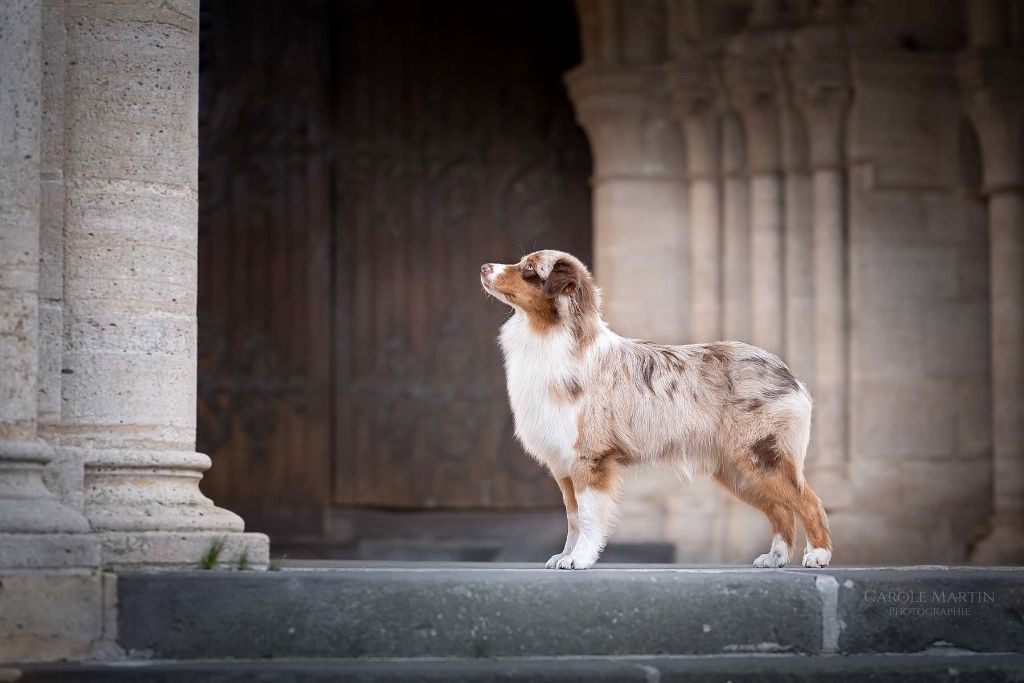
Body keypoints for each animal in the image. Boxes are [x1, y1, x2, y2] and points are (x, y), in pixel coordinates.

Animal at [481, 248, 831, 569]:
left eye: (529, 268)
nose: (484, 266)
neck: (550, 337)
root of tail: (787, 373)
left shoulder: (589, 459)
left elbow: (589, 517)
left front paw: (579, 559)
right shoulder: (565, 465)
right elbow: (573, 518)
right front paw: (565, 555)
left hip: (761, 456)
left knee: (809, 501)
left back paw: (818, 555)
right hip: (737, 471)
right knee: (781, 509)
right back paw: (775, 558)